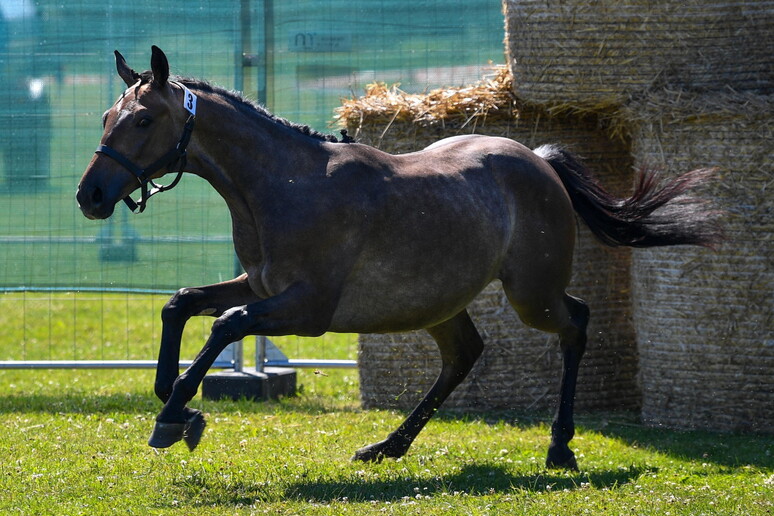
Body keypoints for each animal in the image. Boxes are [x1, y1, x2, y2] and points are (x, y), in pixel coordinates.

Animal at [76, 46, 720, 470]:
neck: (282, 186)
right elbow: (181, 304)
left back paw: (559, 447)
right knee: (464, 355)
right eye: (106, 117)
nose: (91, 196)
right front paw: (174, 400)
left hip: (530, 293)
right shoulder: (260, 287)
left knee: (576, 322)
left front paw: (175, 415)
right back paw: (389, 445)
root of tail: (538, 159)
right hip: (439, 304)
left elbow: (225, 325)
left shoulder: (307, 308)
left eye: (143, 118)